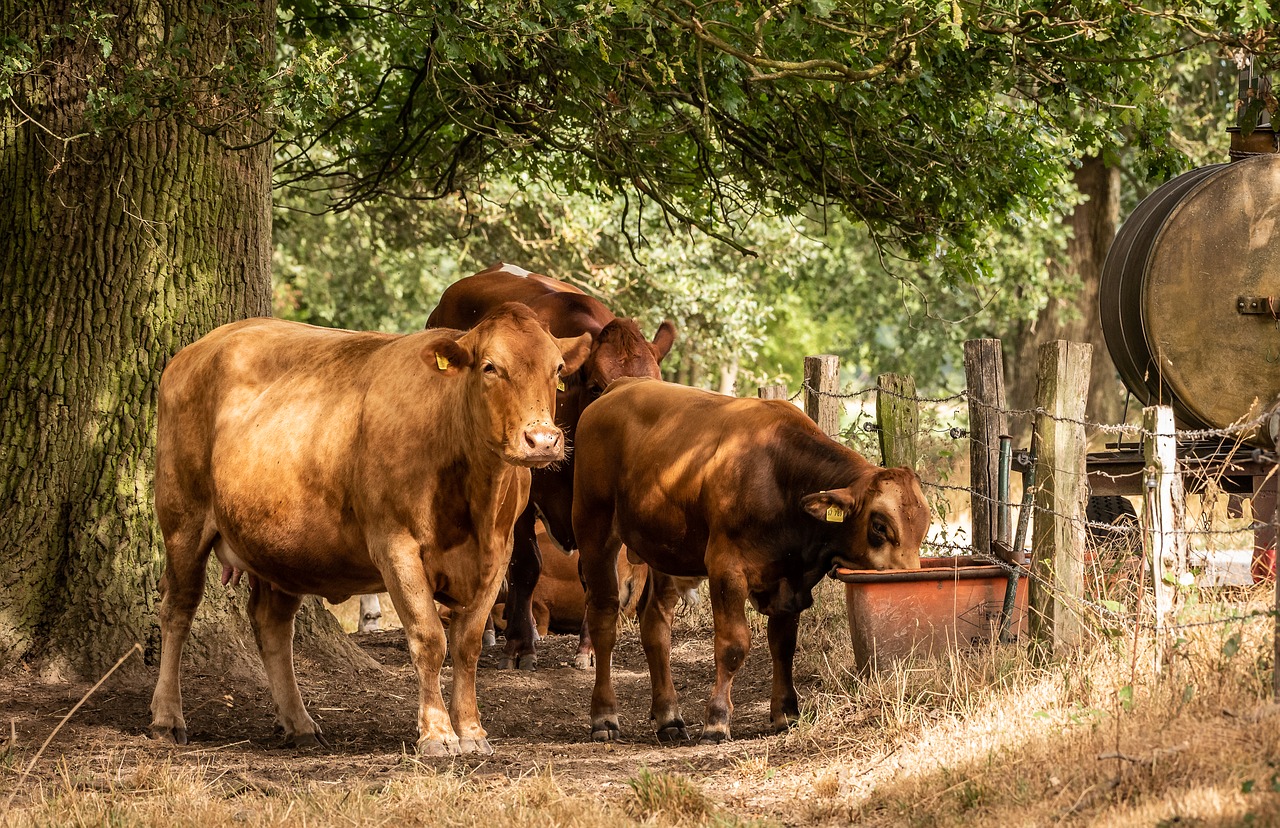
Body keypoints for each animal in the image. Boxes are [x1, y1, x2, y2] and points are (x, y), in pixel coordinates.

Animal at [149, 305, 588, 757]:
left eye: (557, 370)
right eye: (490, 367)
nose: (542, 439)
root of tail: (202, 347)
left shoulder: (499, 553)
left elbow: (466, 645)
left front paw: (471, 730)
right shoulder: (396, 546)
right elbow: (430, 639)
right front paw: (437, 733)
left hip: (279, 545)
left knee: (272, 624)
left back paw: (299, 723)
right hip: (183, 518)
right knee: (177, 609)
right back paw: (167, 718)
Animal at [427, 262, 680, 670]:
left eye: (656, 385)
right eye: (597, 387)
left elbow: (597, 574)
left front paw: (589, 648)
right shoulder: (526, 492)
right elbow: (526, 564)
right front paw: (520, 644)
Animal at [573, 378, 931, 747]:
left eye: (925, 524)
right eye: (879, 526)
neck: (781, 477)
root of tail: (623, 385)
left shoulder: (790, 581)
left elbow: (783, 645)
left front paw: (786, 712)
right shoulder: (726, 568)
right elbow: (733, 645)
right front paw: (717, 720)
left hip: (664, 549)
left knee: (655, 624)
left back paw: (669, 717)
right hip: (594, 528)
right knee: (604, 618)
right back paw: (604, 716)